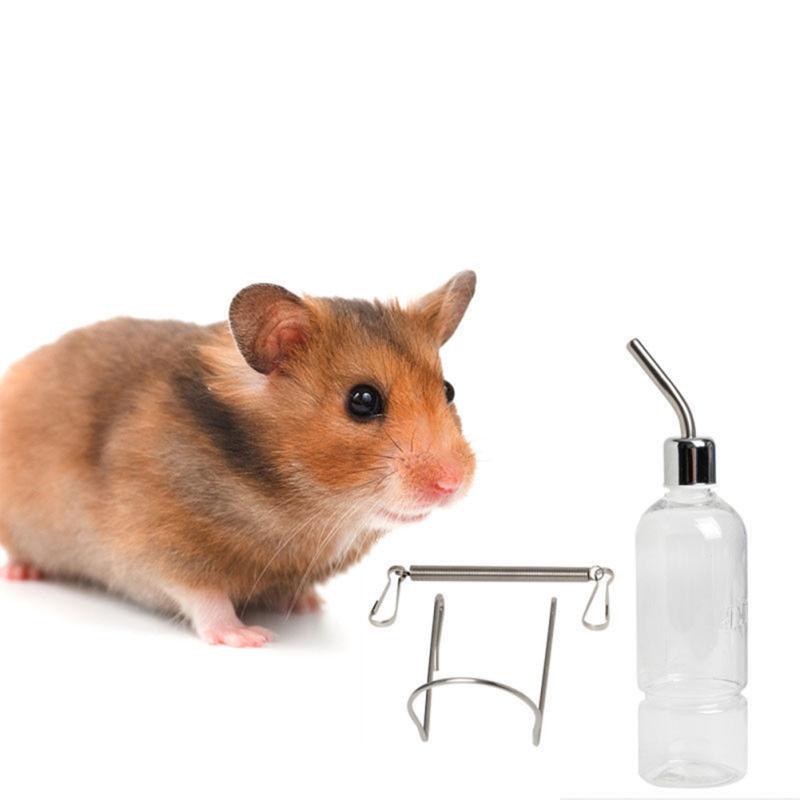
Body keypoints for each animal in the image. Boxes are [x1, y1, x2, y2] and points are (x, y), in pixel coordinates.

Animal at [0, 273, 476, 646]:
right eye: (362, 400)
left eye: (449, 389)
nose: (453, 484)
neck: (302, 507)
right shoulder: (158, 545)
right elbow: (203, 596)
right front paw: (250, 637)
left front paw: (309, 605)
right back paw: (21, 572)